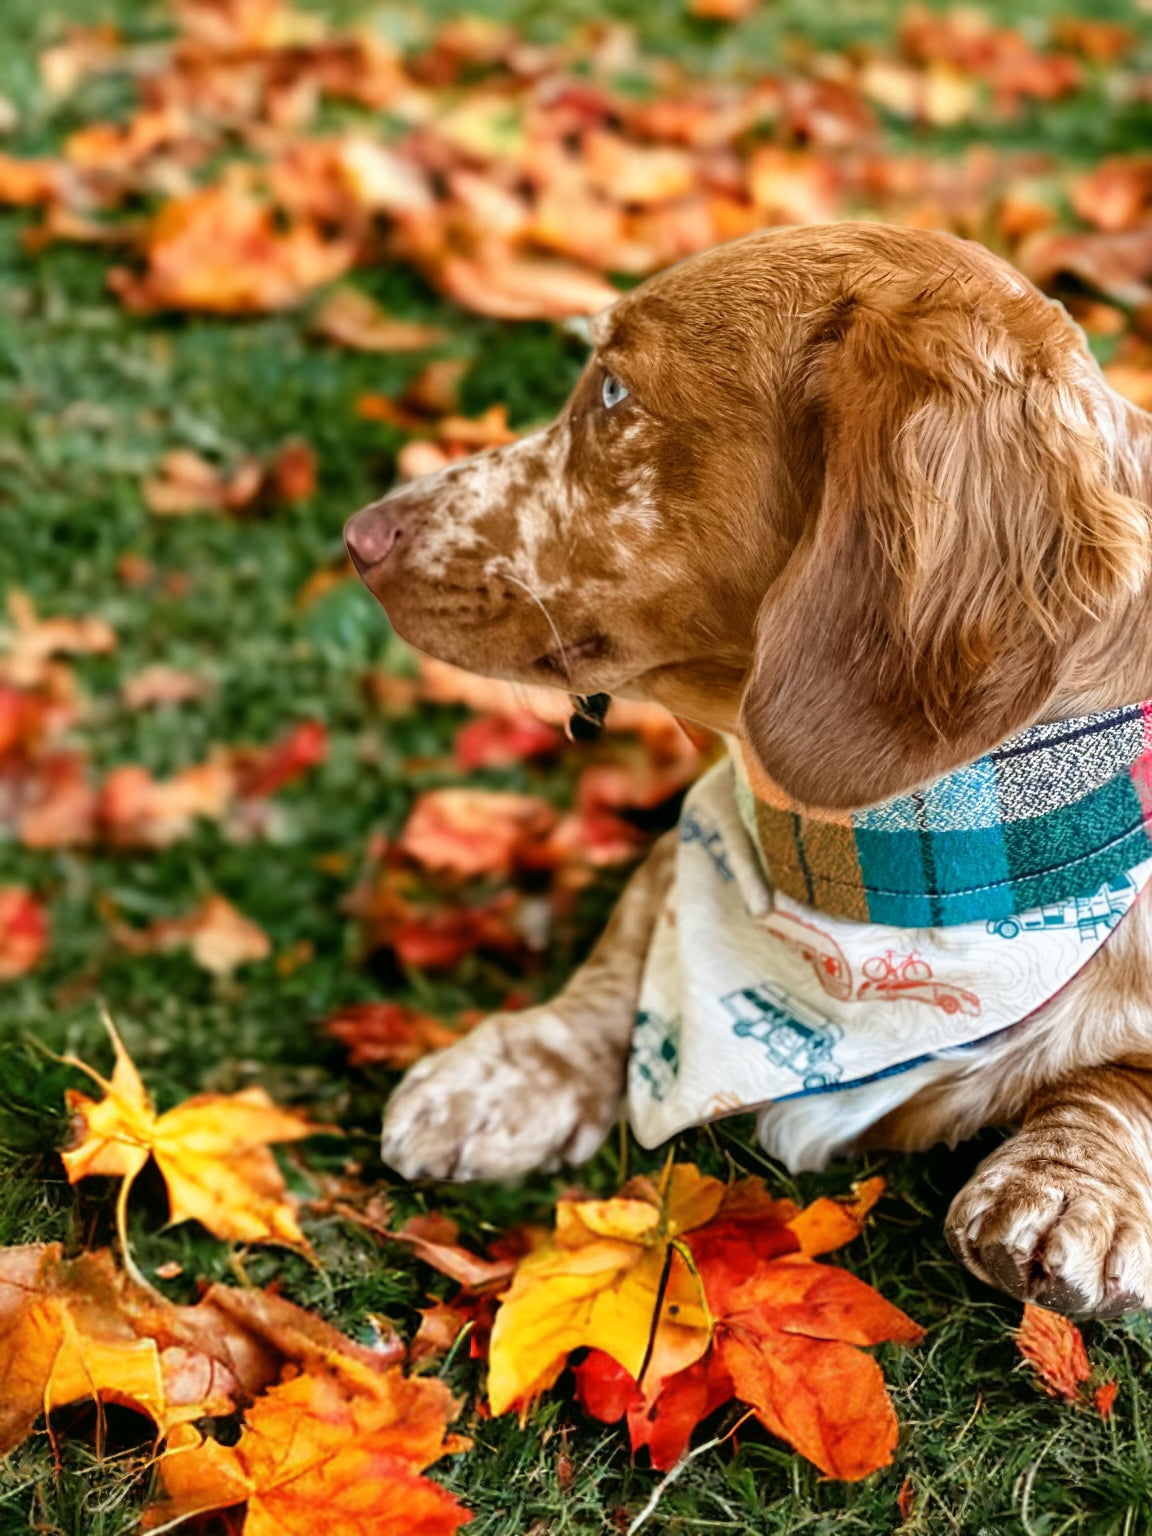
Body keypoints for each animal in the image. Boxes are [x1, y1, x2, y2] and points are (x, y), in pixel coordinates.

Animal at [347, 224, 1152, 1320]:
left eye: (612, 391)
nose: (360, 536)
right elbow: (625, 948)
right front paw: (511, 1071)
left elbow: (1120, 1078)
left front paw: (1070, 1188)